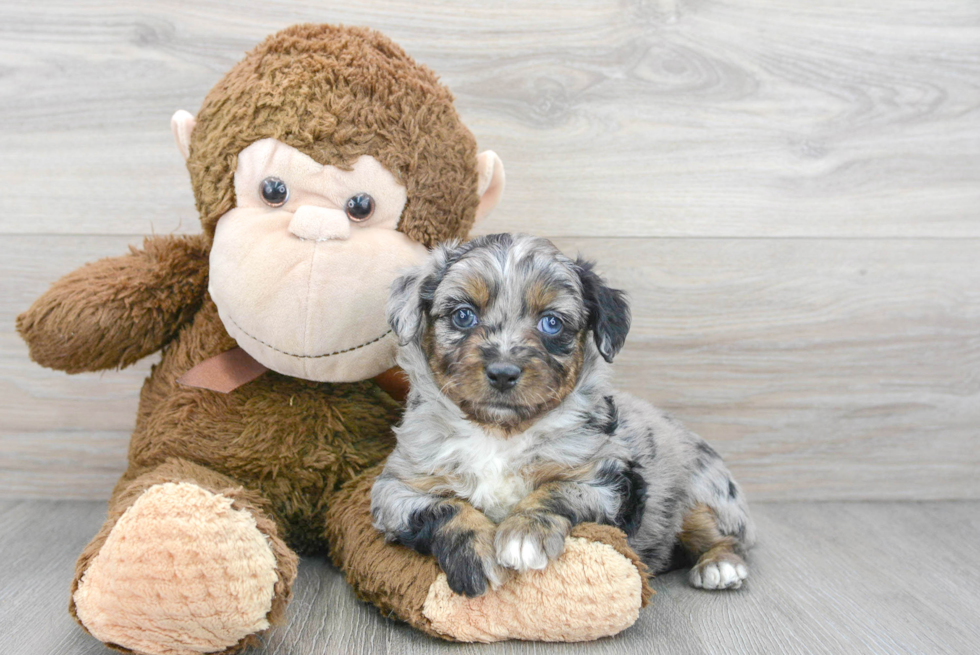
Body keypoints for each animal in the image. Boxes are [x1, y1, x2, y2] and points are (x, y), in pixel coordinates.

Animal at [372, 233, 756, 596]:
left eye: (551, 323)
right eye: (463, 315)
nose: (503, 372)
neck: (499, 433)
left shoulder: (606, 479)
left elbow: (557, 490)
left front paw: (524, 534)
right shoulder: (399, 489)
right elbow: (447, 508)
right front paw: (477, 556)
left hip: (706, 493)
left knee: (725, 535)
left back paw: (720, 565)